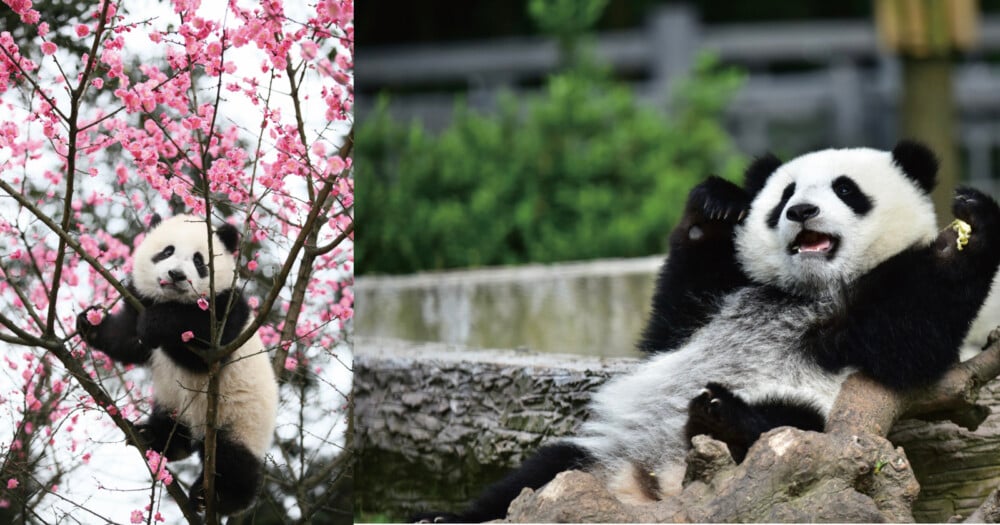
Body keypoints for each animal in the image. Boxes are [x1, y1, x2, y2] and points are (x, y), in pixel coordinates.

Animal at [76, 214, 279, 516]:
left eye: (199, 261)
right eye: (167, 251)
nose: (176, 275)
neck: (172, 299)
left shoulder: (226, 314)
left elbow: (199, 346)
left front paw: (155, 323)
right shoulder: (140, 300)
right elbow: (127, 338)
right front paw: (91, 322)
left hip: (242, 419)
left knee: (233, 461)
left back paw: (214, 497)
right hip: (174, 403)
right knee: (172, 426)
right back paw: (154, 438)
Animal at [414, 141, 1000, 522]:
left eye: (845, 188)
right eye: (784, 193)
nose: (801, 210)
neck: (807, 291)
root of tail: (658, 489)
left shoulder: (867, 332)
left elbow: (911, 338)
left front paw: (970, 230)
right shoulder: (714, 302)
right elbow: (671, 320)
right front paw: (717, 204)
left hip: (808, 421)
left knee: (786, 426)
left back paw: (723, 416)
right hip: (593, 463)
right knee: (533, 478)